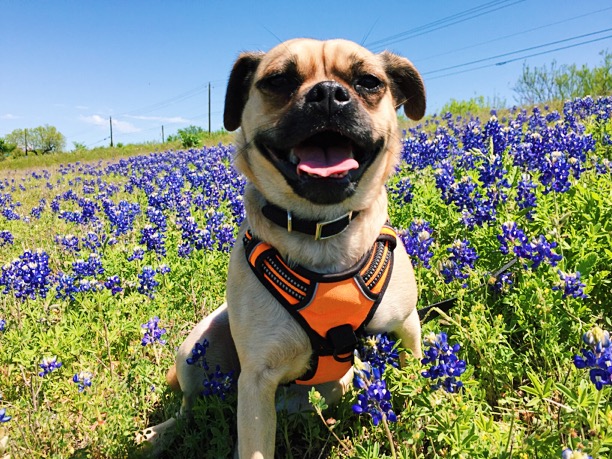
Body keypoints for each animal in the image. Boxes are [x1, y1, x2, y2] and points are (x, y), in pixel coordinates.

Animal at [140, 36, 424, 459]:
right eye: (278, 81)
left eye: (369, 82)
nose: (328, 93)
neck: (323, 232)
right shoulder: (256, 379)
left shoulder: (407, 326)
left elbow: (421, 380)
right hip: (197, 347)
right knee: (190, 407)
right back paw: (158, 435)